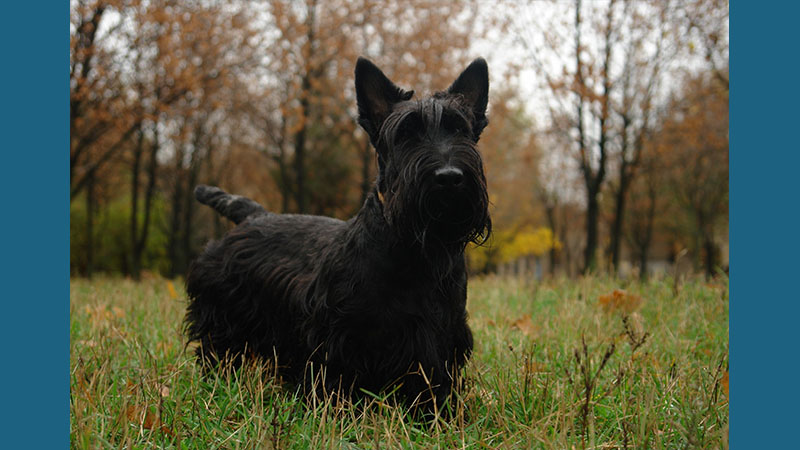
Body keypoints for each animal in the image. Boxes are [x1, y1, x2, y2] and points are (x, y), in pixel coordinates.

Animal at [184, 57, 490, 412]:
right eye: (405, 134)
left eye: (460, 129)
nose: (449, 177)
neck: (415, 249)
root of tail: (255, 215)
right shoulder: (338, 334)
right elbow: (334, 376)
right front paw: (333, 408)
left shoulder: (442, 334)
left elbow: (433, 378)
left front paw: (436, 413)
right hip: (224, 314)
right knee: (217, 348)